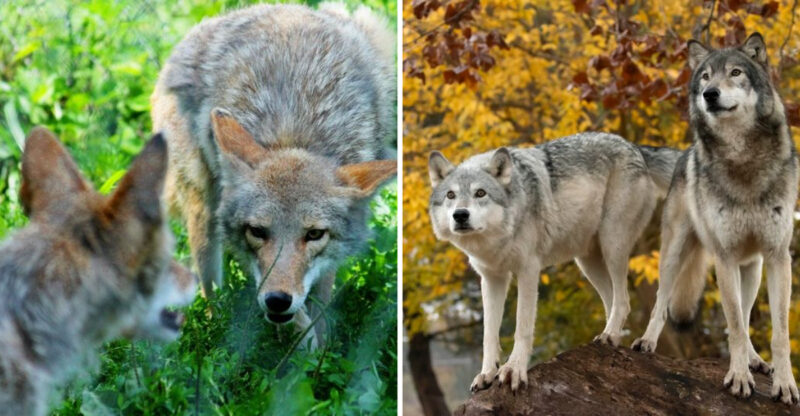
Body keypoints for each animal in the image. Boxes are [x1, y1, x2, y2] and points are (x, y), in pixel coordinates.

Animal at [150, 3, 396, 342]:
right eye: (257, 231)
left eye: (314, 234)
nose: (277, 300)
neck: (292, 135)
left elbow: (319, 306)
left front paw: (320, 350)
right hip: (205, 212)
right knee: (210, 291)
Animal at [428, 132, 680, 392]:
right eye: (450, 195)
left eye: (480, 193)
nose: (460, 215)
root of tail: (633, 146)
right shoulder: (491, 278)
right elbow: (489, 334)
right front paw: (487, 374)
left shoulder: (528, 270)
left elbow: (522, 328)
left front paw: (513, 370)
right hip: (587, 263)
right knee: (617, 303)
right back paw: (610, 339)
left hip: (613, 245)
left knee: (626, 300)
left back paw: (627, 338)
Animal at [630, 33, 799, 403]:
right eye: (706, 77)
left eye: (736, 72)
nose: (710, 94)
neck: (743, 159)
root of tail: (685, 153)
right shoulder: (724, 257)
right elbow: (733, 324)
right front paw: (738, 377)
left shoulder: (778, 257)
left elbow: (776, 331)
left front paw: (784, 383)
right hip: (674, 254)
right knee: (661, 301)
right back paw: (647, 341)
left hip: (752, 268)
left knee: (748, 315)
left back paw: (755, 359)